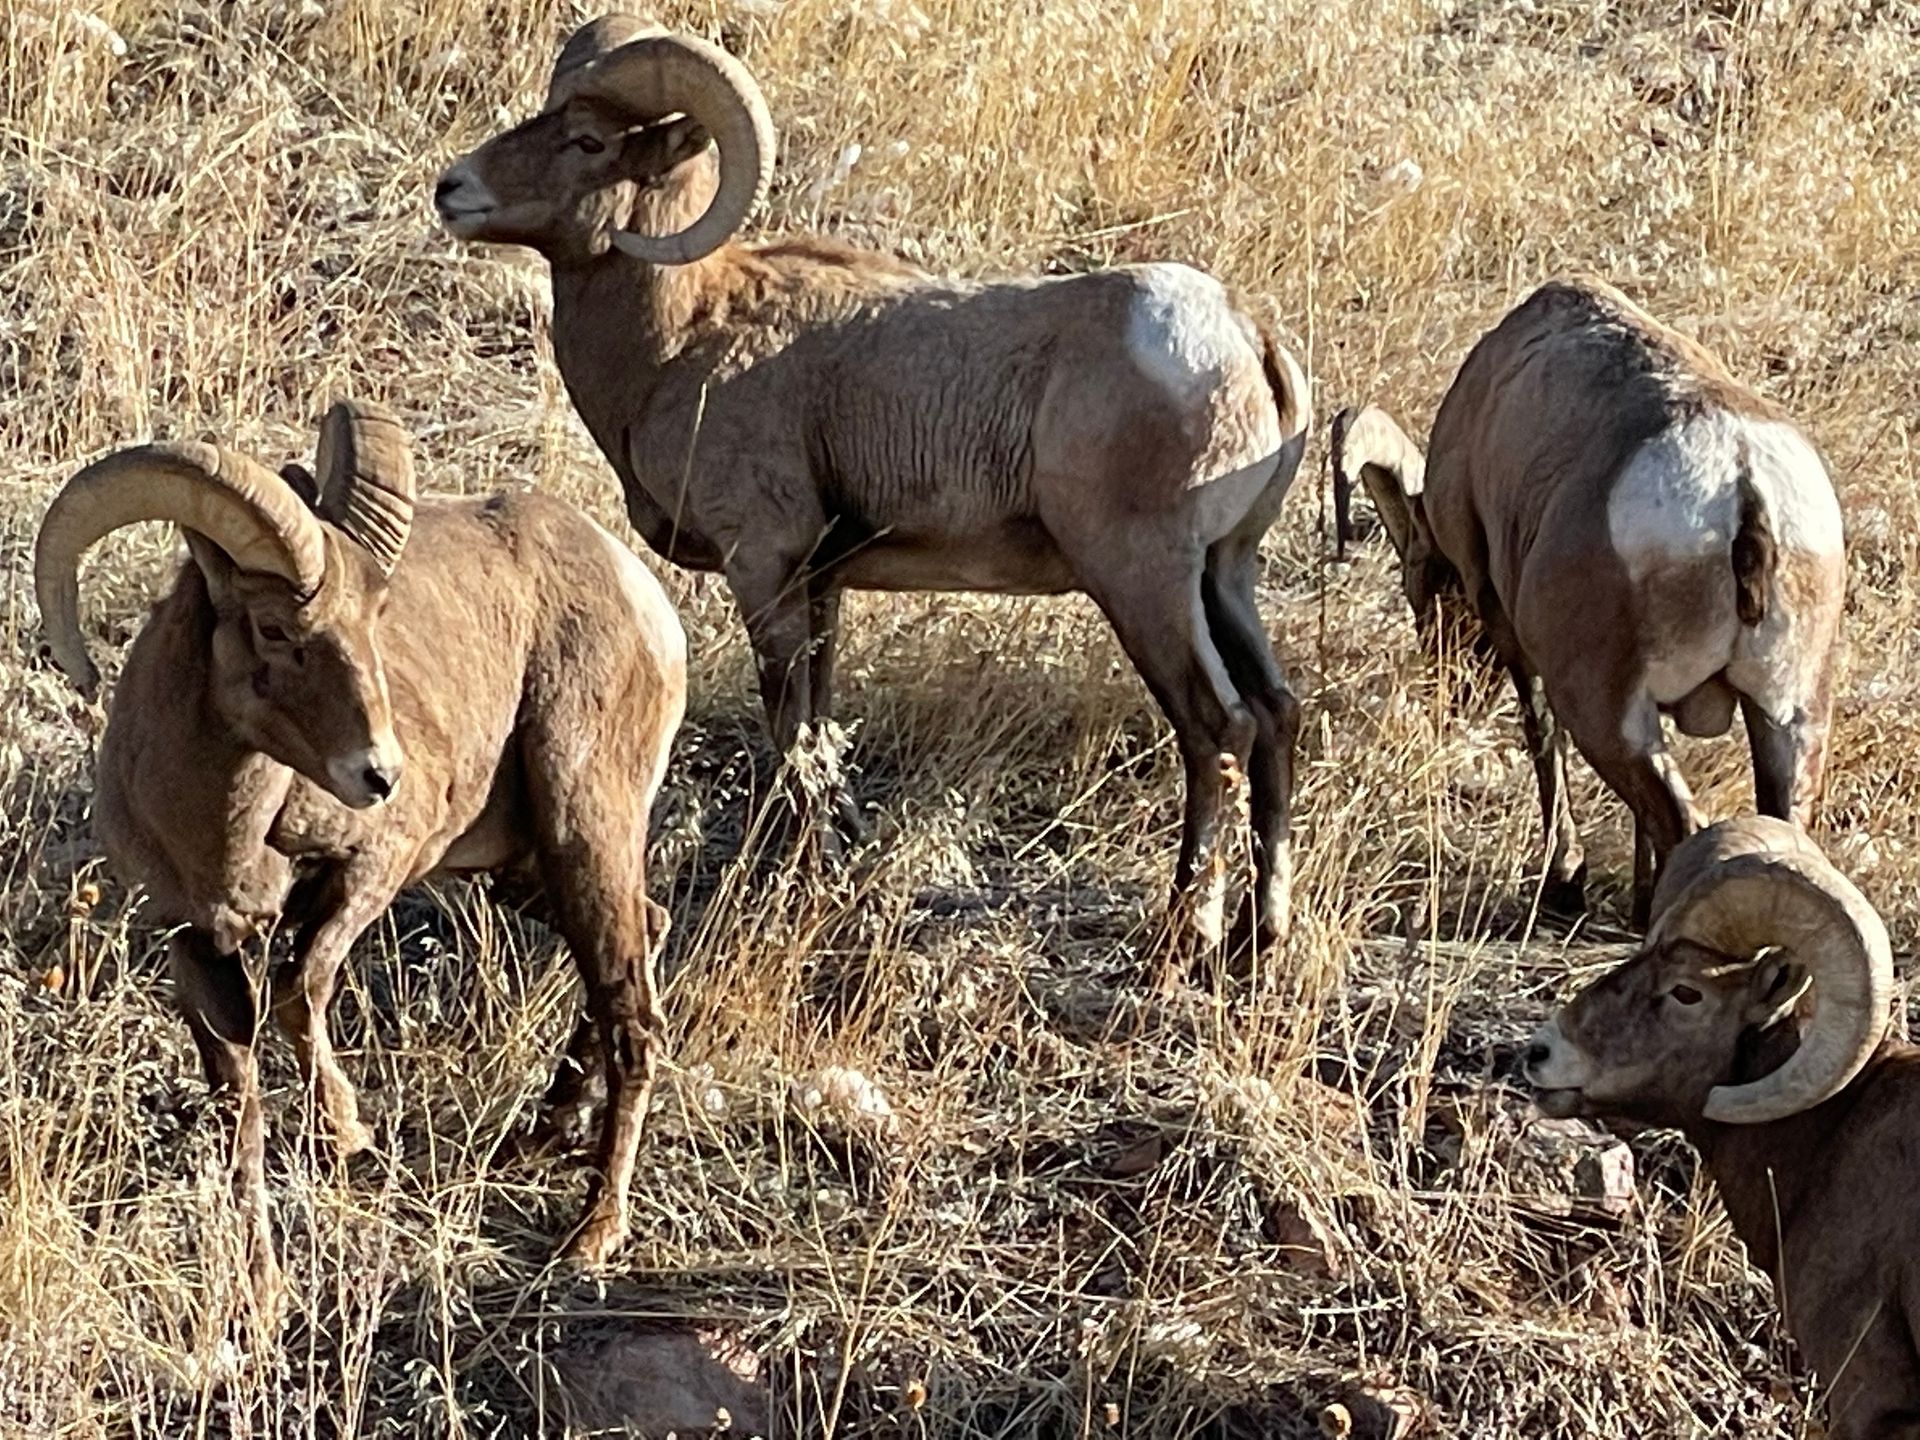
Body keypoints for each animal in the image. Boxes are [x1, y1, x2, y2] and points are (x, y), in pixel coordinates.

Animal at [33, 400, 687, 1318]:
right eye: (274, 629)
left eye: (375, 620)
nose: (380, 774)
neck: (223, 832)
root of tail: (641, 591)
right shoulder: (193, 946)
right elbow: (238, 1116)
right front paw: (261, 1295)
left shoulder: (371, 868)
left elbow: (297, 987)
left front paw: (345, 1132)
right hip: (524, 869)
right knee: (640, 942)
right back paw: (541, 1136)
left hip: (584, 834)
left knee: (633, 1010)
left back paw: (592, 1235)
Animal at [431, 15, 1313, 951]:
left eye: (590, 141)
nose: (454, 189)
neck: (680, 339)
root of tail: (1247, 339)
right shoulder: (822, 582)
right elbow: (819, 727)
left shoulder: (765, 566)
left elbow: (788, 726)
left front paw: (796, 877)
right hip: (1225, 574)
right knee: (1276, 713)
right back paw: (1265, 932)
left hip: (1143, 580)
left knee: (1219, 726)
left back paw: (1186, 931)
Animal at [1331, 278, 1844, 924]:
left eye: (1422, 586)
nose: (1450, 694)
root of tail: (1739, 482)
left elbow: (1541, 736)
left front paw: (1565, 882)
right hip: (1789, 715)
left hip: (1607, 716)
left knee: (1680, 821)